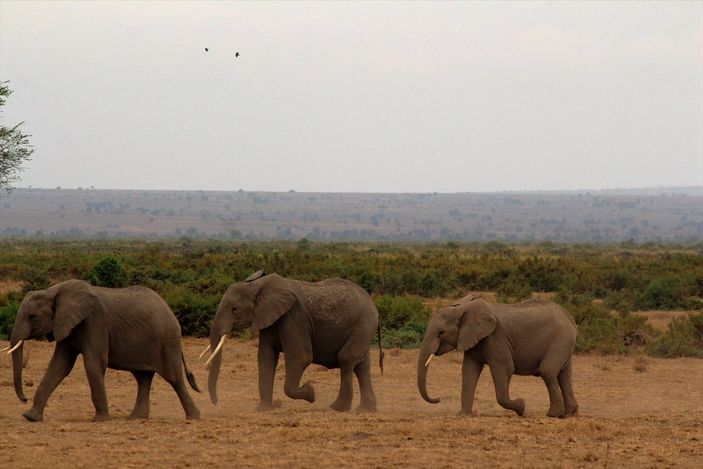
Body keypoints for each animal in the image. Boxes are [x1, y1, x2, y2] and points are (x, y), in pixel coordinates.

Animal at [6, 278, 201, 420]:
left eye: (32, 317)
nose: (24, 399)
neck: (53, 291)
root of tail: (171, 312)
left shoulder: (95, 321)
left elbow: (94, 363)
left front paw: (100, 420)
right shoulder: (67, 325)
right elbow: (59, 366)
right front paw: (30, 417)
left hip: (167, 341)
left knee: (173, 378)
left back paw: (193, 417)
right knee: (143, 378)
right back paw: (136, 418)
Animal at [202, 270, 384, 410]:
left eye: (234, 309)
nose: (216, 403)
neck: (260, 285)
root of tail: (375, 308)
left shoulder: (294, 316)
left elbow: (300, 357)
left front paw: (311, 392)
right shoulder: (269, 318)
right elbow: (265, 358)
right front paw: (263, 409)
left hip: (363, 325)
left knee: (346, 359)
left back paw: (338, 408)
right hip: (363, 329)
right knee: (361, 366)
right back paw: (364, 410)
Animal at [418, 296, 576, 416]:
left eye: (441, 333)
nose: (438, 399)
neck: (462, 309)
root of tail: (571, 319)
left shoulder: (496, 338)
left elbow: (504, 368)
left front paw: (521, 406)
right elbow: (469, 370)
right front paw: (463, 414)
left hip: (561, 340)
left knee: (547, 371)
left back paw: (553, 415)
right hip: (564, 343)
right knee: (564, 376)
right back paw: (570, 414)